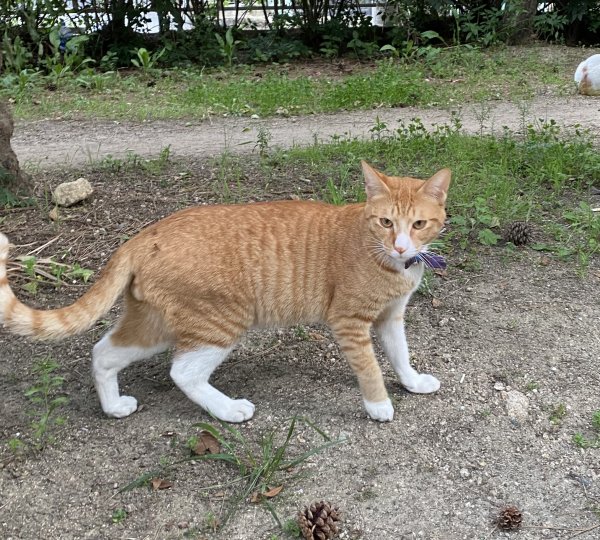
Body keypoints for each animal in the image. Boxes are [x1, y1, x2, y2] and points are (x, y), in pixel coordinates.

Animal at [0, 162, 450, 424]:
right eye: (386, 222)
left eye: (419, 224)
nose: (401, 248)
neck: (387, 261)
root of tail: (145, 233)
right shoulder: (350, 323)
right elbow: (371, 368)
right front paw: (378, 406)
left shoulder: (390, 318)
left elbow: (400, 355)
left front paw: (411, 383)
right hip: (220, 323)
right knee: (182, 372)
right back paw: (230, 410)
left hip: (155, 325)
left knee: (103, 352)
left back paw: (113, 407)